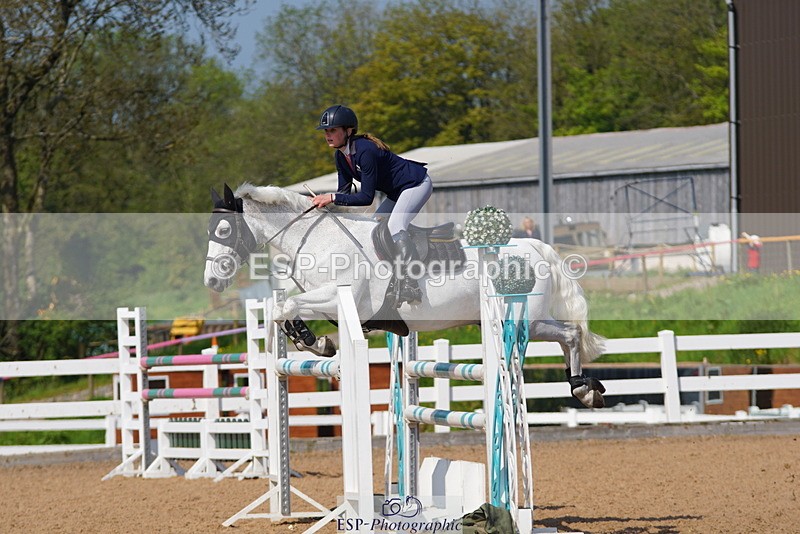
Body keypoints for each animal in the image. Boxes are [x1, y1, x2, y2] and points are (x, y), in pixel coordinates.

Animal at [203, 183, 607, 408]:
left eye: (223, 229)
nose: (211, 280)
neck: (319, 240)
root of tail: (537, 247)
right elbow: (285, 305)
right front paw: (314, 341)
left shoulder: (341, 297)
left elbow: (286, 305)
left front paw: (313, 342)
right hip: (521, 320)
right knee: (569, 335)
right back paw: (585, 389)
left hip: (522, 320)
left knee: (567, 335)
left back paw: (579, 389)